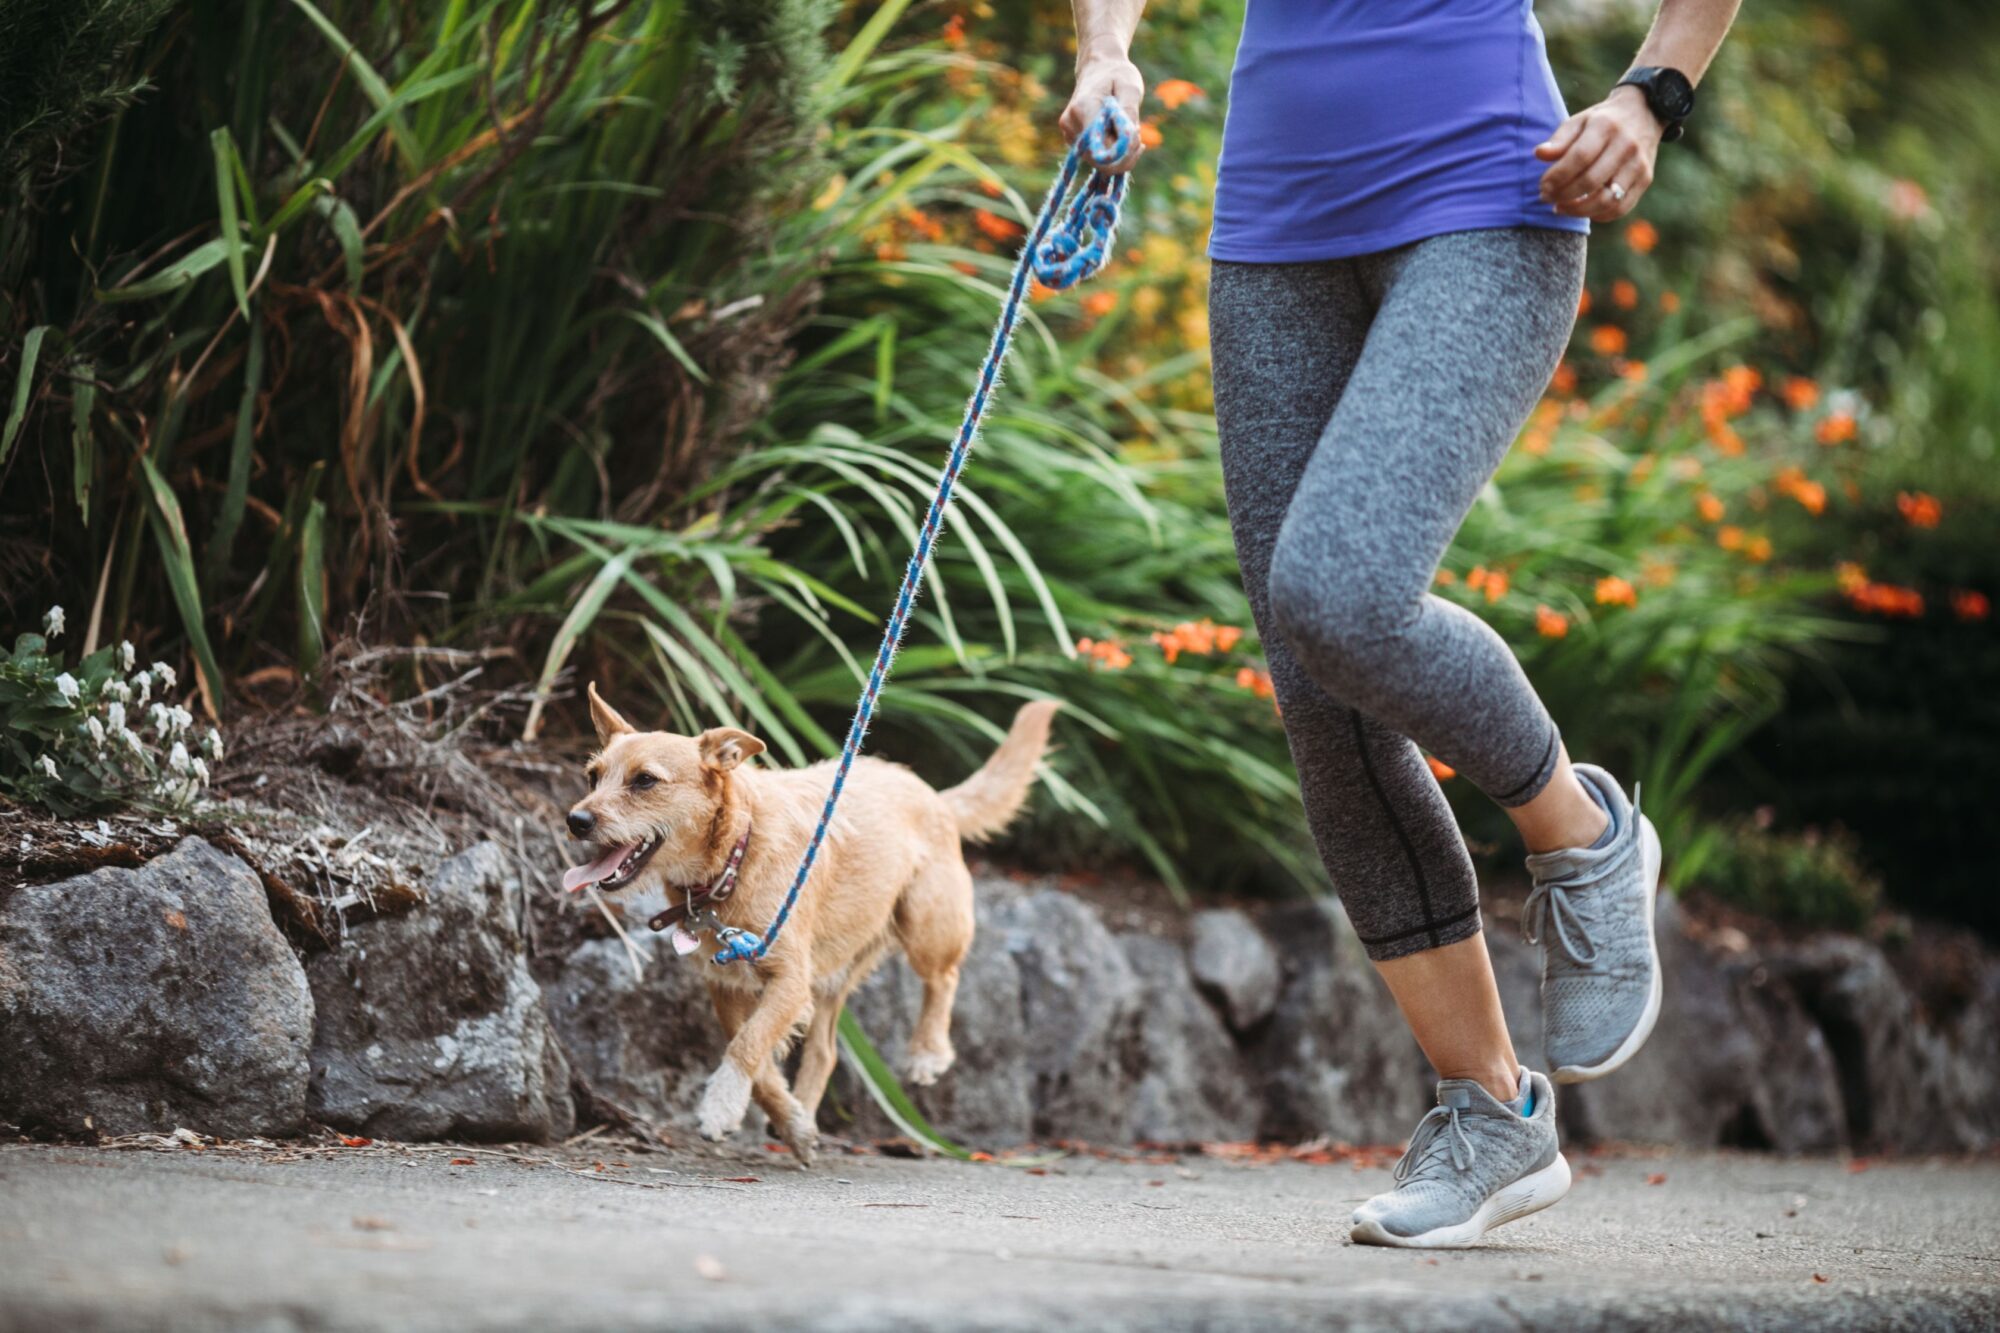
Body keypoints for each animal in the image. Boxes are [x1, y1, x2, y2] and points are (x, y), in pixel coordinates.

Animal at [564, 680, 1064, 1160]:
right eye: (593, 776)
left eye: (645, 781)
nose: (576, 820)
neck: (737, 852)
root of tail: (932, 794)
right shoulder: (729, 987)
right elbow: (759, 1058)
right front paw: (790, 1121)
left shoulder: (789, 979)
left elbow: (748, 1044)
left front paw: (721, 1104)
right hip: (831, 974)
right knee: (824, 1051)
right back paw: (802, 1110)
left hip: (925, 926)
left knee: (944, 977)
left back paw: (927, 1052)